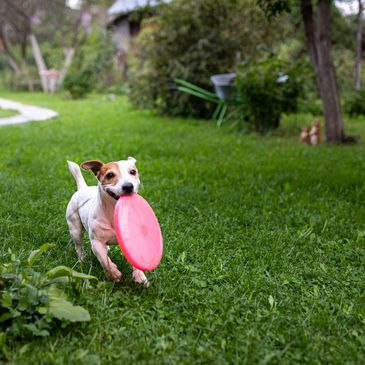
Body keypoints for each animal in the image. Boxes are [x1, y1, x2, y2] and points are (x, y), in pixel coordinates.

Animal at [66, 158, 149, 286]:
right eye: (110, 175)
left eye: (133, 172)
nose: (128, 186)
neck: (114, 211)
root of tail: (83, 188)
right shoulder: (96, 243)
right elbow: (104, 259)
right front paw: (113, 273)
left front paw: (140, 276)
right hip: (75, 229)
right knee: (78, 246)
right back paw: (82, 260)